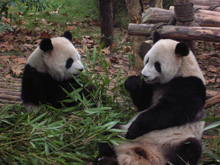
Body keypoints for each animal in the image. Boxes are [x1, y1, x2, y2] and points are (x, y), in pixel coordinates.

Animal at [96, 32, 206, 165]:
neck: (182, 70)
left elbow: (171, 111)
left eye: (157, 65)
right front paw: (133, 82)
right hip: (120, 132)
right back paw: (106, 158)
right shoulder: (153, 86)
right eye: (147, 59)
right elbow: (144, 104)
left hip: (176, 140)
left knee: (190, 149)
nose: (144, 75)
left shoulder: (189, 86)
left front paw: (134, 129)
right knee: (108, 131)